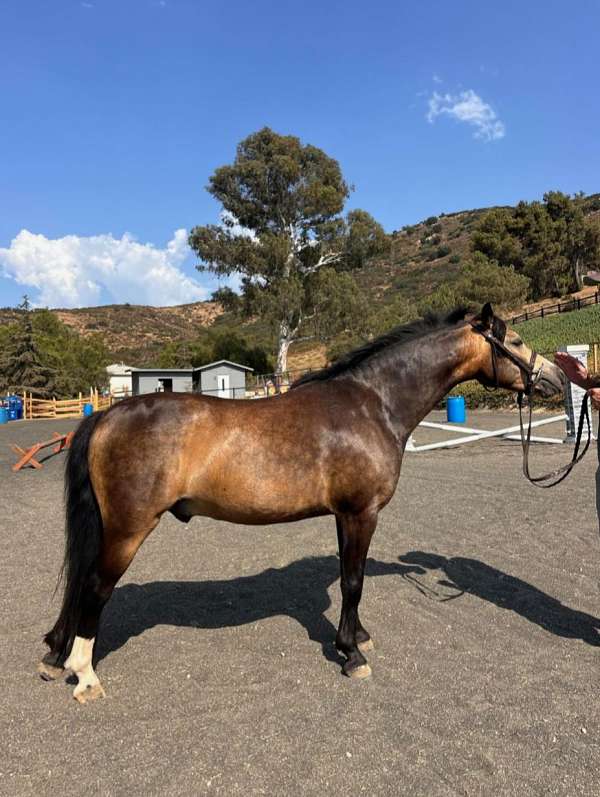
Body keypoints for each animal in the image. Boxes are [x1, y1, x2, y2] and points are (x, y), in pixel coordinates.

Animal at [38, 303, 565, 703]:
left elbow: (350, 578)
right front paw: (352, 654)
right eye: (517, 340)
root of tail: (106, 416)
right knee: (95, 587)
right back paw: (84, 675)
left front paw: (356, 636)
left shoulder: (343, 516)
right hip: (128, 529)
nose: (557, 379)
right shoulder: (360, 514)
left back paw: (54, 656)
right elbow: (353, 581)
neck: (373, 403)